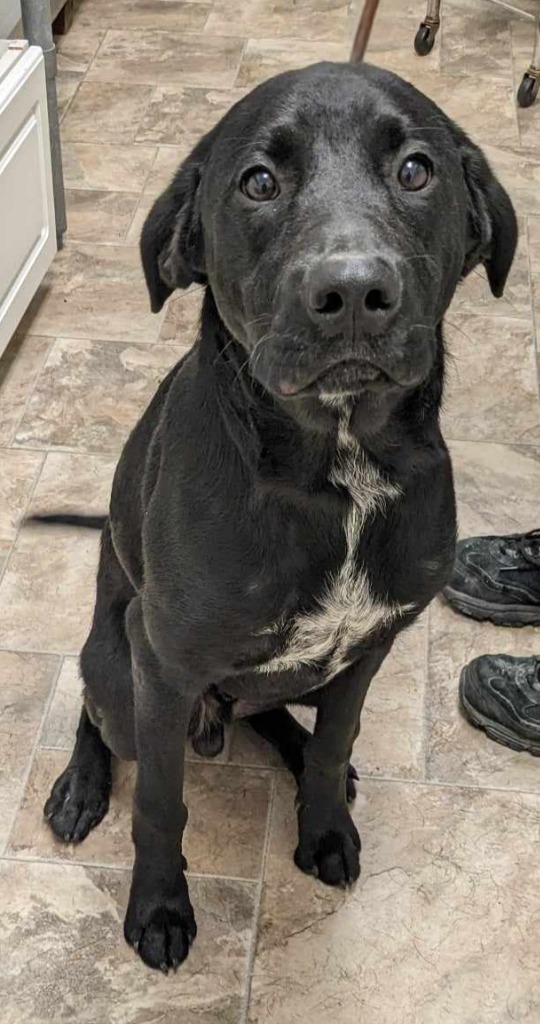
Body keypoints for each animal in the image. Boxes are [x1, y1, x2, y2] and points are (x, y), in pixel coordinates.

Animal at [40, 64, 518, 974]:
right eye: (258, 183)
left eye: (416, 169)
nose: (354, 292)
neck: (341, 472)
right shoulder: (163, 666)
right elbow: (161, 804)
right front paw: (160, 905)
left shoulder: (371, 644)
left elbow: (335, 741)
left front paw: (326, 823)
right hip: (120, 658)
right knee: (93, 702)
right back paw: (82, 783)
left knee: (279, 716)